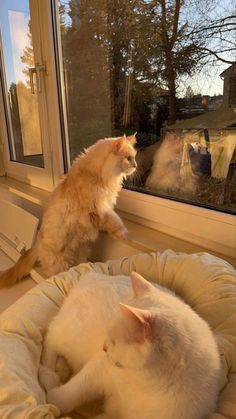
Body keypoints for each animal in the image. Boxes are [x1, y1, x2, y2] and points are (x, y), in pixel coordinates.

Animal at [39, 272, 220, 419]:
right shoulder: (99, 370)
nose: (104, 347)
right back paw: (49, 373)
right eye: (108, 335)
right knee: (50, 339)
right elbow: (72, 393)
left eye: (114, 341)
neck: (144, 384)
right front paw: (52, 399)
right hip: (72, 335)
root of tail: (93, 275)